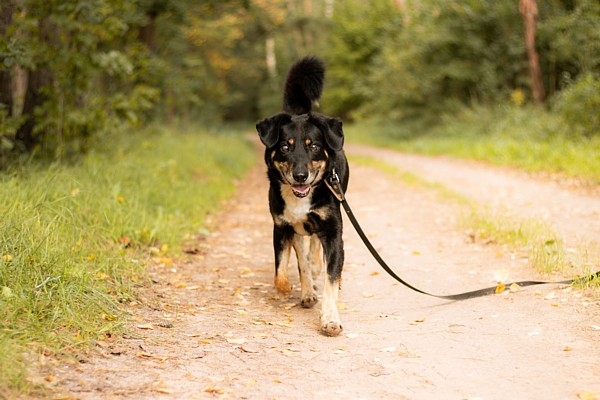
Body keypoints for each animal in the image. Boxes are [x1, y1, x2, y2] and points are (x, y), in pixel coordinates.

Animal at [255, 57, 350, 338]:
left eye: (314, 146)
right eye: (285, 146)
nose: (300, 176)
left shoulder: (334, 233)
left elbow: (331, 281)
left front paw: (330, 319)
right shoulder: (281, 227)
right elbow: (282, 271)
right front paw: (290, 288)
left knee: (314, 251)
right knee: (302, 257)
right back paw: (307, 290)